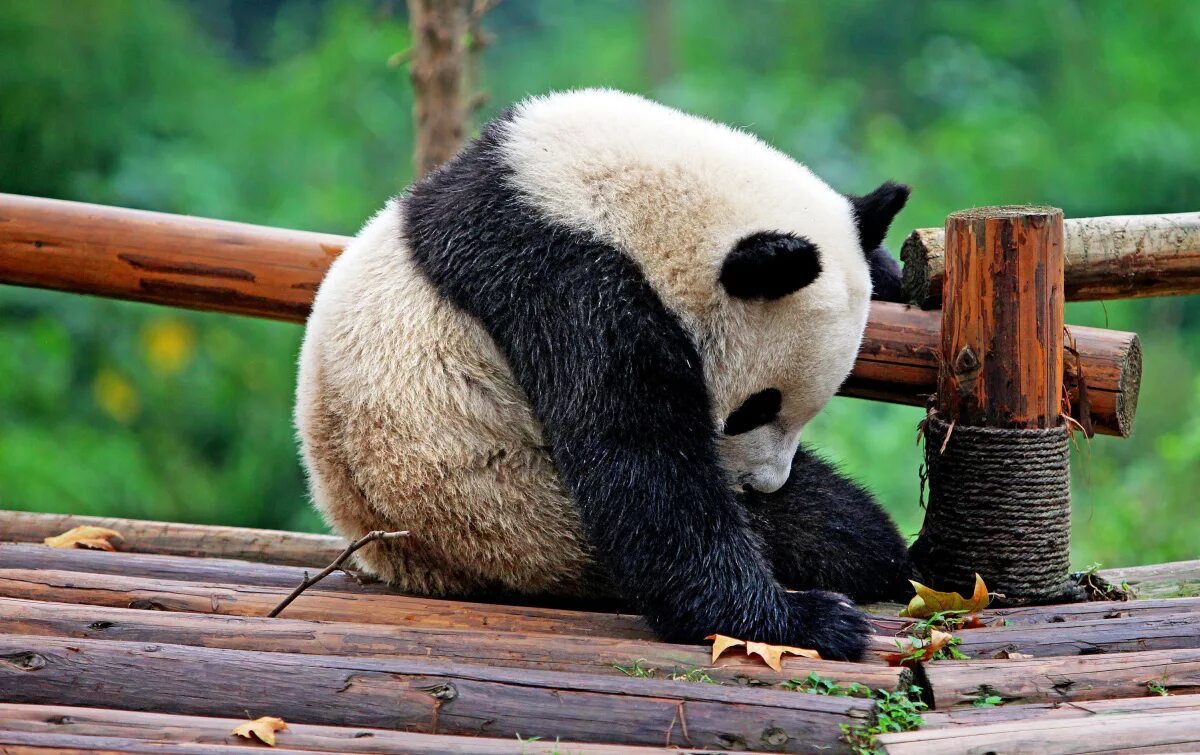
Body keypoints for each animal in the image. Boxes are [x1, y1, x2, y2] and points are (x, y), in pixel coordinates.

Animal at [295, 89, 912, 661]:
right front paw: (804, 622)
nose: (760, 485)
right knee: (825, 526)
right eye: (756, 408)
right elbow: (639, 466)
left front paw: (895, 270)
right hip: (528, 518)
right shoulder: (565, 283)